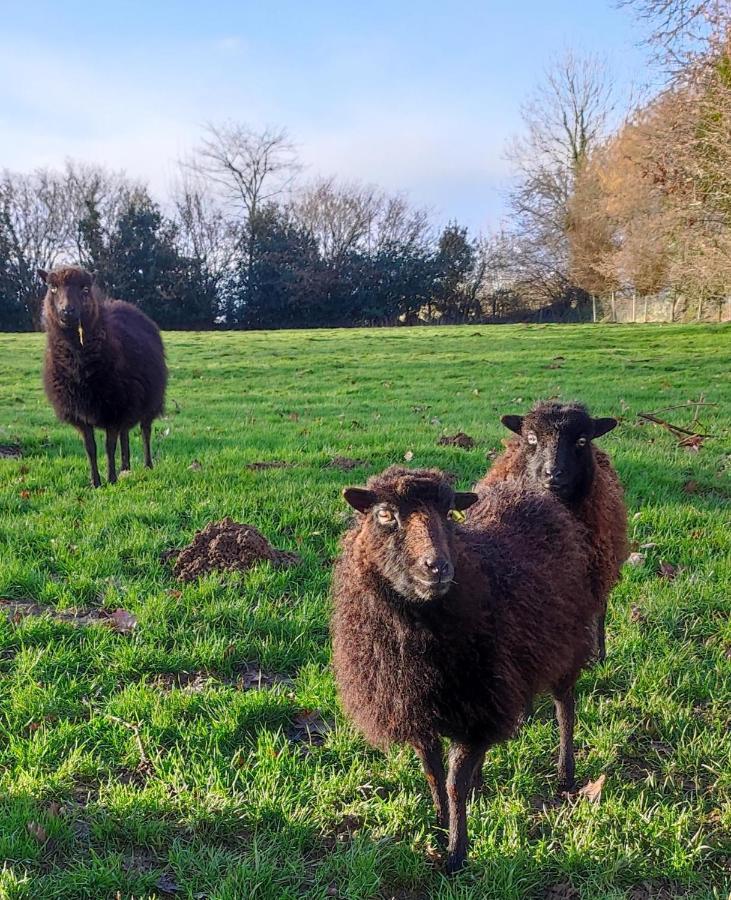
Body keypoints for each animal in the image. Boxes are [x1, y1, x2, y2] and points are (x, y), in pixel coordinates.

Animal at [39, 266, 168, 488]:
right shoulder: (80, 413)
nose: (67, 311)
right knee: (125, 434)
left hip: (148, 400)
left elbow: (109, 447)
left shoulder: (113, 409)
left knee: (145, 431)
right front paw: (96, 482)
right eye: (52, 288)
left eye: (85, 288)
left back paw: (147, 465)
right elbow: (90, 448)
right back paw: (126, 467)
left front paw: (111, 479)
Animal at [332, 468, 600, 876]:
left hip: (563, 645)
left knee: (564, 708)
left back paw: (564, 774)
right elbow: (433, 772)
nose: (438, 567)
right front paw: (441, 822)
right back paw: (482, 781)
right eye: (385, 514)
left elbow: (453, 782)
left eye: (448, 514)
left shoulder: (477, 712)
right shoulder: (419, 710)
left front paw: (456, 855)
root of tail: (527, 491)